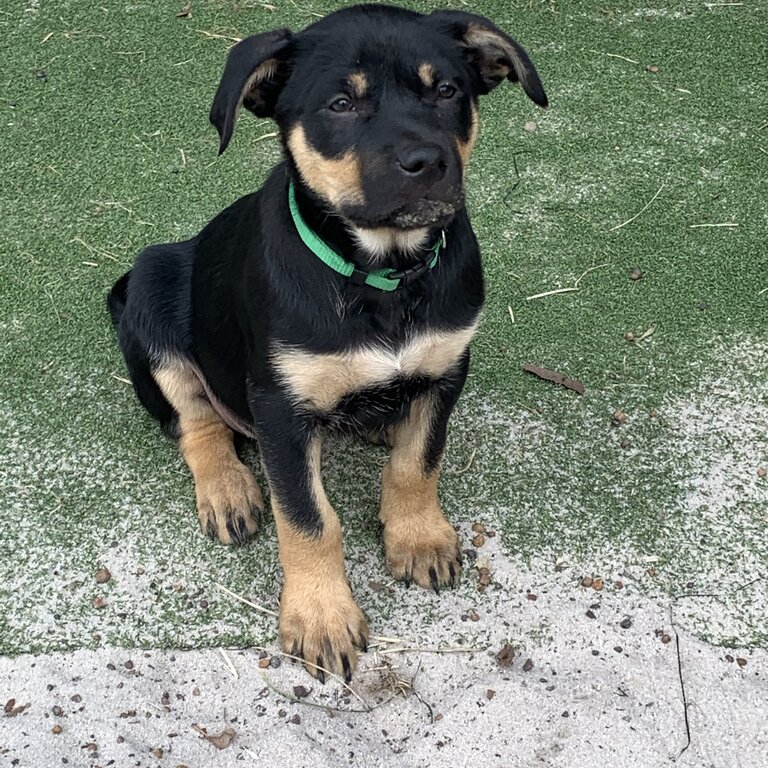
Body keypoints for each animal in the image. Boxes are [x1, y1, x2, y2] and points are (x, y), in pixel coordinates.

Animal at [108, 3, 544, 680]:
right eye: (341, 104)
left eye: (447, 91)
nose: (428, 163)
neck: (384, 276)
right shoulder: (280, 409)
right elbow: (308, 518)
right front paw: (320, 615)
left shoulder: (446, 367)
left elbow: (419, 462)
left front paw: (417, 536)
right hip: (153, 287)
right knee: (197, 420)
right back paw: (228, 488)